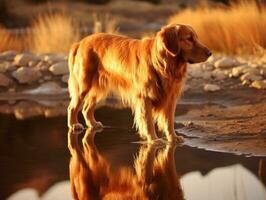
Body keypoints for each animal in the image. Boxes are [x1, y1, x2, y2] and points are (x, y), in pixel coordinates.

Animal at [67, 23, 211, 142]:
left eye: (196, 38)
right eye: (189, 39)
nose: (210, 53)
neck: (162, 65)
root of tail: (80, 42)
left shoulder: (170, 98)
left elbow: (169, 120)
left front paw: (173, 137)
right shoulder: (144, 97)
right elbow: (148, 121)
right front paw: (154, 139)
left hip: (99, 87)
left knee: (86, 108)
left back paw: (93, 123)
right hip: (83, 85)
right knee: (72, 107)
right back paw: (74, 124)